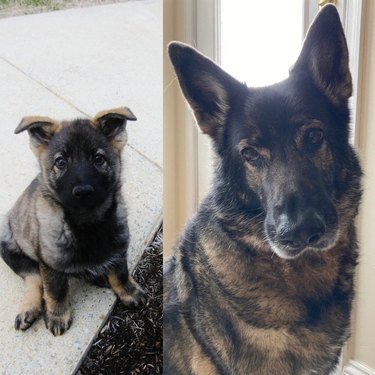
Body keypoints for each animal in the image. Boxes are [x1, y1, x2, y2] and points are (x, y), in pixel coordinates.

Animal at [0, 106, 146, 338]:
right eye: (61, 162)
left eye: (98, 159)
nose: (83, 192)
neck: (87, 223)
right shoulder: (50, 263)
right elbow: (55, 290)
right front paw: (58, 315)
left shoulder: (118, 248)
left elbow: (121, 273)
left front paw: (128, 291)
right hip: (8, 245)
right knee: (33, 277)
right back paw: (29, 308)